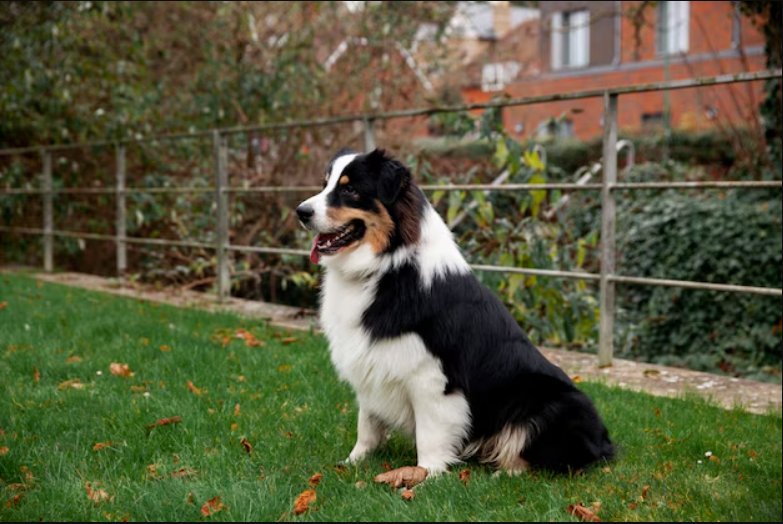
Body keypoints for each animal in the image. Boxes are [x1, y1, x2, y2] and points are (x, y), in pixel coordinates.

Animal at [298, 147, 616, 484]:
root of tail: (604, 442)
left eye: (350, 190)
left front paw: (426, 475)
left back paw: (503, 473)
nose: (300, 211)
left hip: (551, 403)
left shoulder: (431, 376)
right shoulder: (372, 361)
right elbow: (367, 424)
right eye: (325, 184)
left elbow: (430, 434)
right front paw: (352, 463)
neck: (387, 266)